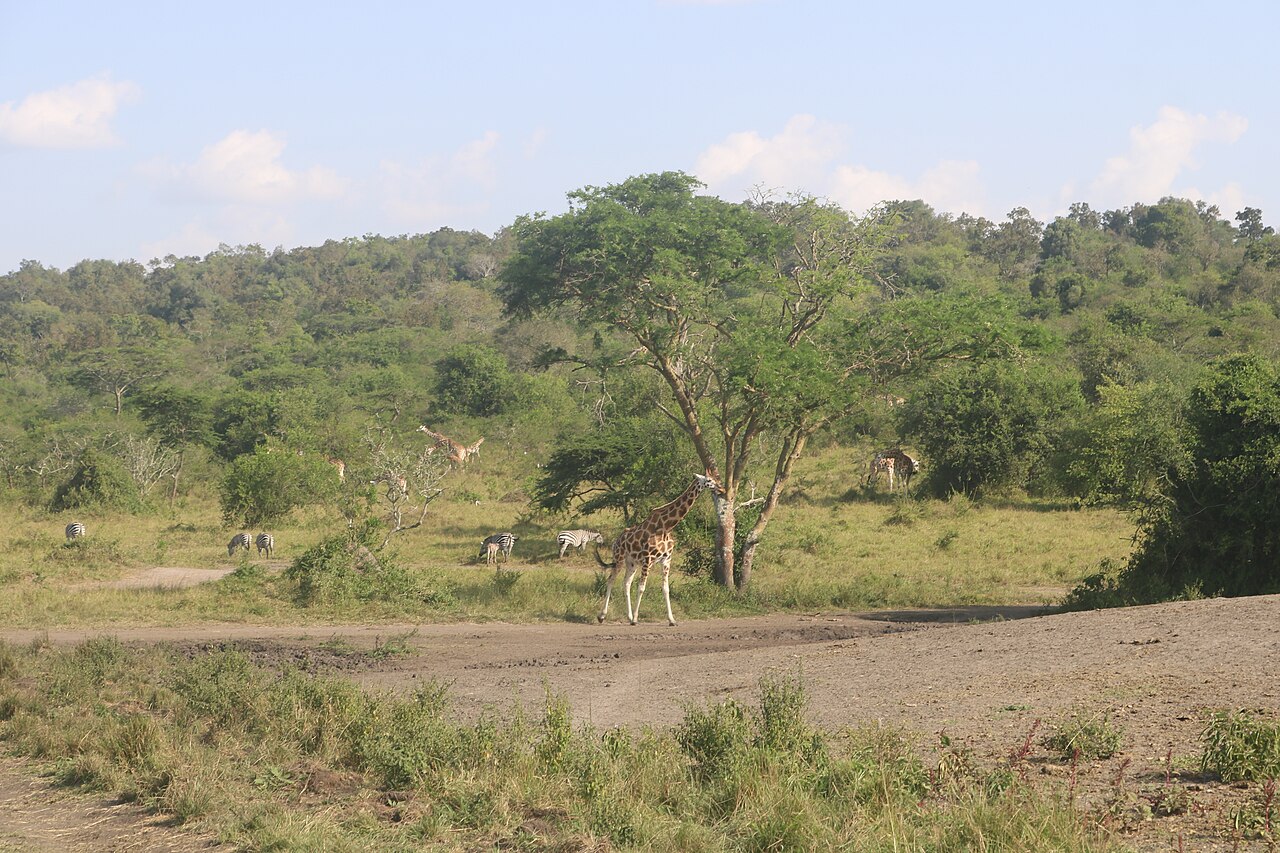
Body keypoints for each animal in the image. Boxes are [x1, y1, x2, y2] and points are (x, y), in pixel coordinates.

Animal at [596, 471, 727, 625]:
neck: (666, 526)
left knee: (626, 583)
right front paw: (636, 619)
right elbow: (641, 588)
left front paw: (672, 620)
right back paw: (602, 616)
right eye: (709, 480)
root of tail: (616, 541)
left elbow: (665, 589)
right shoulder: (648, 559)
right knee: (611, 580)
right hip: (619, 558)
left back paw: (628, 616)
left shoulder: (666, 560)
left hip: (632, 563)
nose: (722, 489)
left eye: (716, 479)